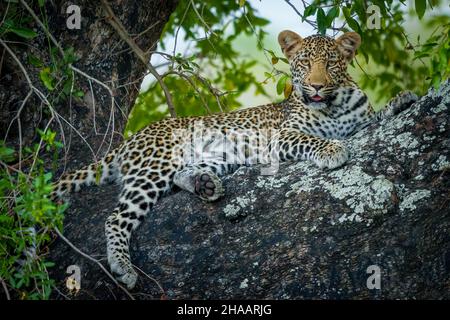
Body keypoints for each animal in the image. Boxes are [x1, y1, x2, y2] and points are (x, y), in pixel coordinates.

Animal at [51, 30, 418, 290]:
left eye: (330, 64)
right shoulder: (282, 136)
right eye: (304, 63)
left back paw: (205, 185)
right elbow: (310, 139)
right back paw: (122, 266)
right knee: (116, 218)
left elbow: (375, 119)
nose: (315, 86)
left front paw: (401, 100)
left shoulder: (359, 122)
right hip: (155, 167)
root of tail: (131, 139)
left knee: (182, 177)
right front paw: (332, 150)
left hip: (217, 157)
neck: (334, 105)